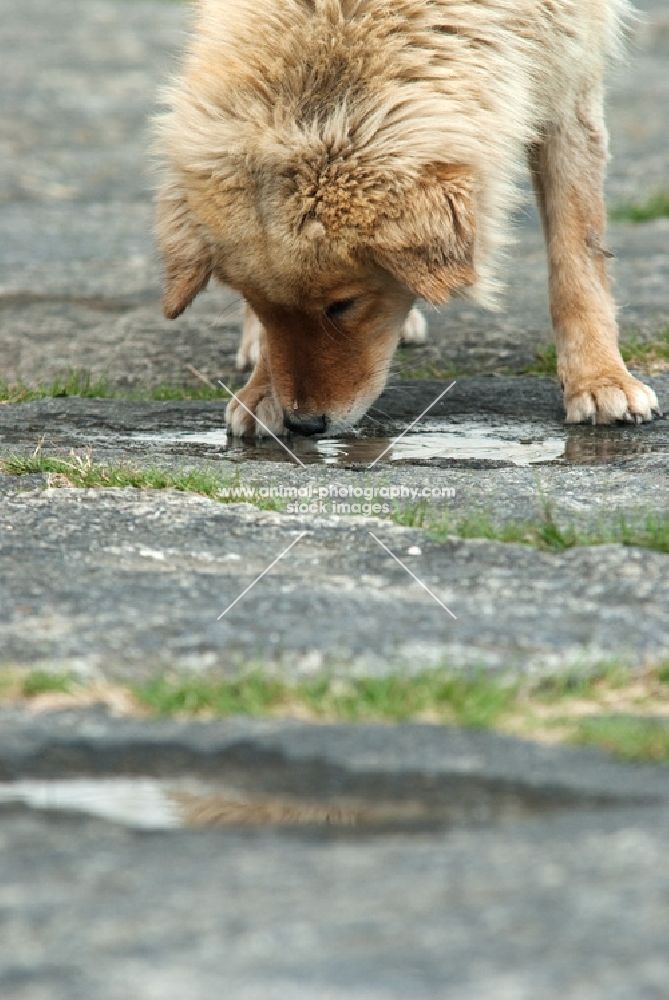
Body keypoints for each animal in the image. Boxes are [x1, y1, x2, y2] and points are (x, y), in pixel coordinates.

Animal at [155, 0, 656, 438]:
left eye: (343, 305)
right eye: (259, 303)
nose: (304, 425)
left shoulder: (568, 75)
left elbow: (578, 255)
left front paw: (599, 379)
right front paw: (262, 390)